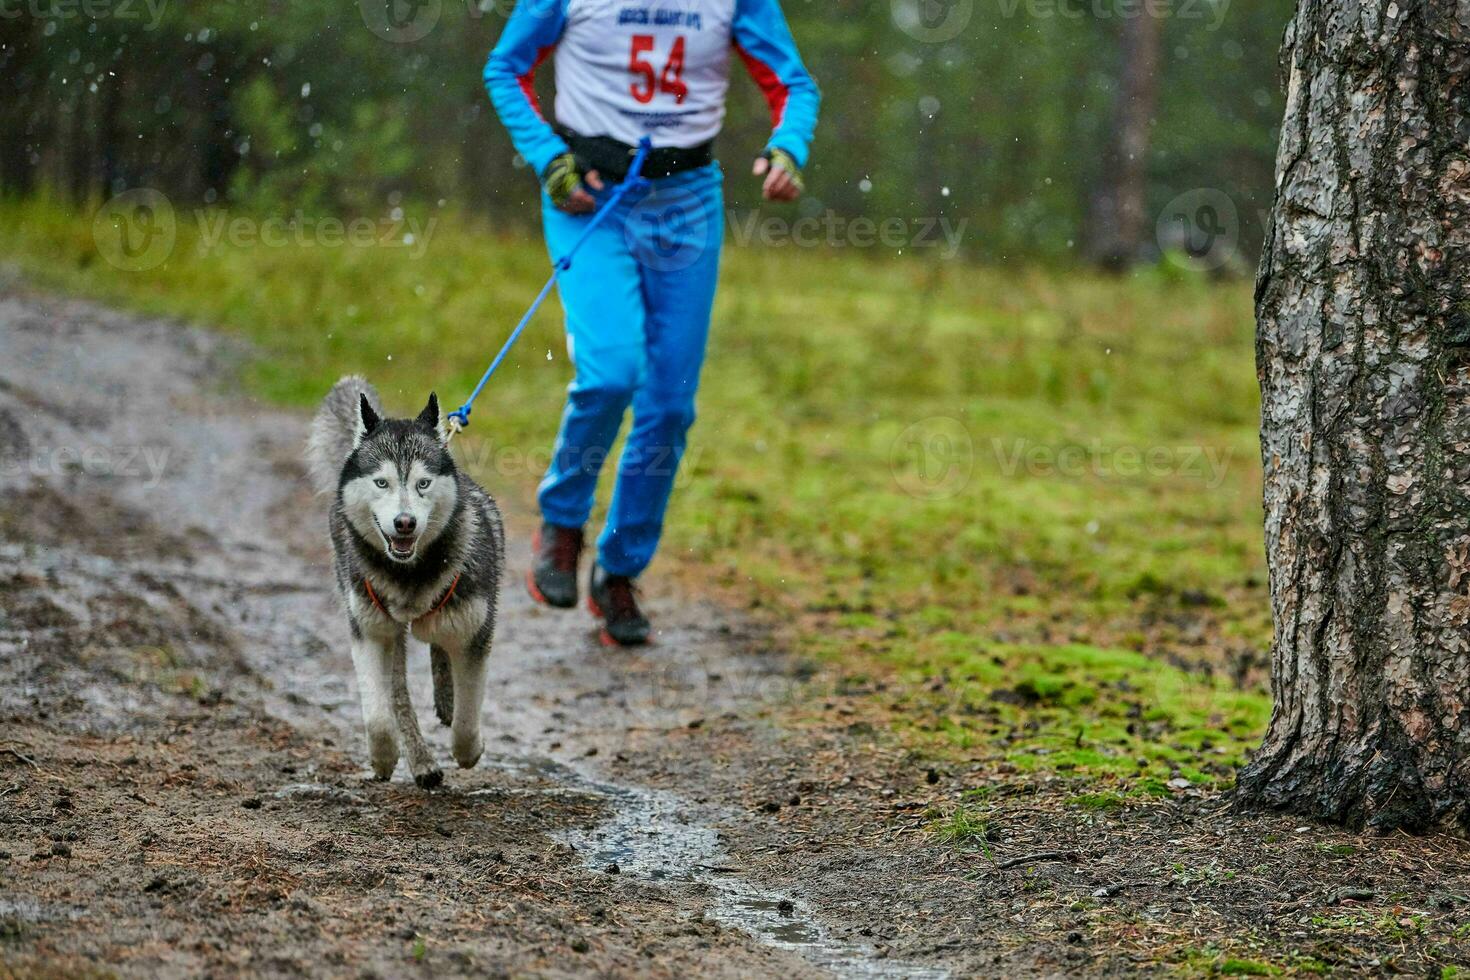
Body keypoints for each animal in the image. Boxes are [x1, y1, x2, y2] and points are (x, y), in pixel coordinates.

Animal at [305, 376, 505, 787]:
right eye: (381, 482)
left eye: (423, 483)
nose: (404, 523)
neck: (409, 574)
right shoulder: (368, 631)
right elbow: (378, 716)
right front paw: (383, 758)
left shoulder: (475, 634)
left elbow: (467, 717)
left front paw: (469, 749)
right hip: (388, 629)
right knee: (397, 692)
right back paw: (422, 764)